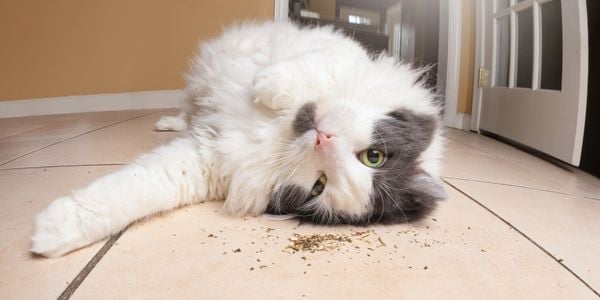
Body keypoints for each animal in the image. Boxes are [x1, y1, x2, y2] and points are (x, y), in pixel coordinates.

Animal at [30, 22, 448, 258]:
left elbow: (132, 193)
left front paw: (51, 232)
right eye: (374, 156)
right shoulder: (340, 56)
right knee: (186, 109)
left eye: (319, 186)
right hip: (198, 86)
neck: (280, 129)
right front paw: (267, 85)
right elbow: (314, 68)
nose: (323, 139)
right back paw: (167, 122)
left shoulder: (207, 160)